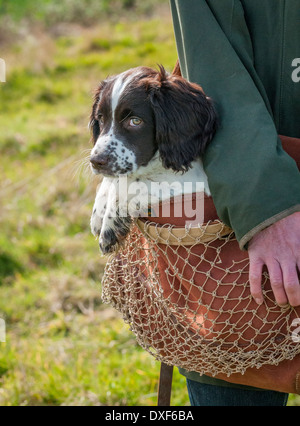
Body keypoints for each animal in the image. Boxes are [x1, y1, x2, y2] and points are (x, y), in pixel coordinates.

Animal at [88, 65, 217, 253]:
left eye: (135, 121)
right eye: (101, 118)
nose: (96, 161)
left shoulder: (199, 182)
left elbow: (135, 185)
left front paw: (109, 225)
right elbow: (115, 180)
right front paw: (98, 212)